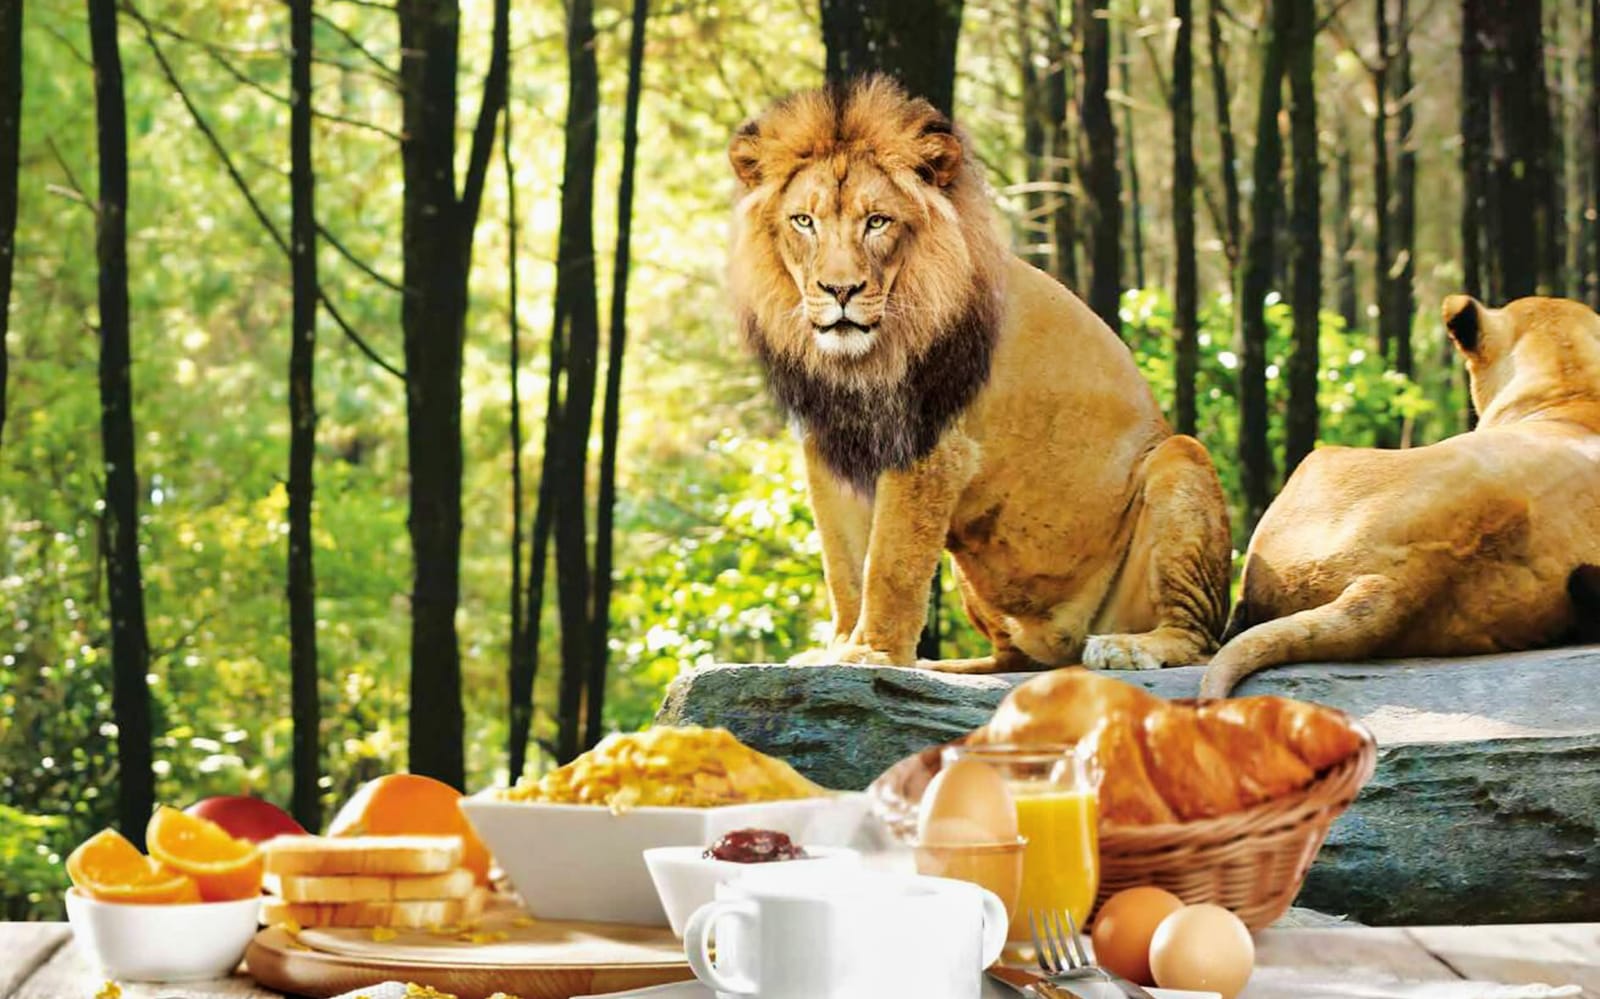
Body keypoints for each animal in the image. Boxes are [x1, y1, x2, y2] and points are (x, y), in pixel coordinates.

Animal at [728, 77, 1233, 674]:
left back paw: (1129, 647)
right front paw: (838, 651)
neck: (858, 361)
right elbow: (844, 567)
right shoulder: (829, 449)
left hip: (1181, 461)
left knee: (1199, 637)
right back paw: (942, 667)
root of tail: (1064, 642)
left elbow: (891, 564)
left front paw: (872, 653)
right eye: (803, 222)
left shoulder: (931, 449)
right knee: (1011, 658)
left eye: (877, 221)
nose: (840, 290)